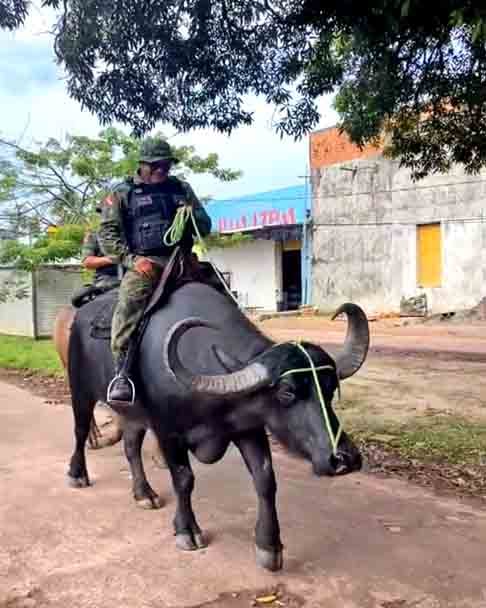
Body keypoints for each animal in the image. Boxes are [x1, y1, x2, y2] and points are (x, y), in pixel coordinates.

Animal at [63, 282, 368, 572]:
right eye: (287, 393)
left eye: (330, 388)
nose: (344, 459)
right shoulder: (167, 432)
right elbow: (184, 479)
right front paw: (187, 531)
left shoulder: (248, 428)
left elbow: (265, 480)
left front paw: (269, 546)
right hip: (80, 391)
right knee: (80, 432)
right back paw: (77, 475)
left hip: (133, 414)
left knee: (130, 446)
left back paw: (144, 494)